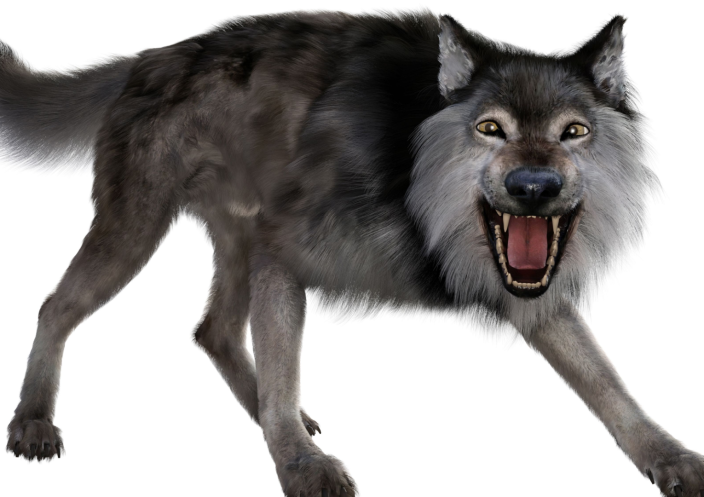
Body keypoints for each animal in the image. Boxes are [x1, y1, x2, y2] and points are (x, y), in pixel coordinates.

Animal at [1, 11, 702, 497]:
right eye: (491, 128)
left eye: (574, 131)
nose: (535, 187)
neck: (413, 182)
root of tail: (148, 57)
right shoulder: (283, 250)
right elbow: (285, 372)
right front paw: (301, 466)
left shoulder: (538, 302)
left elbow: (609, 384)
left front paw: (669, 456)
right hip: (137, 228)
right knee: (54, 306)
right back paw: (33, 420)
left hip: (232, 238)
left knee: (212, 330)